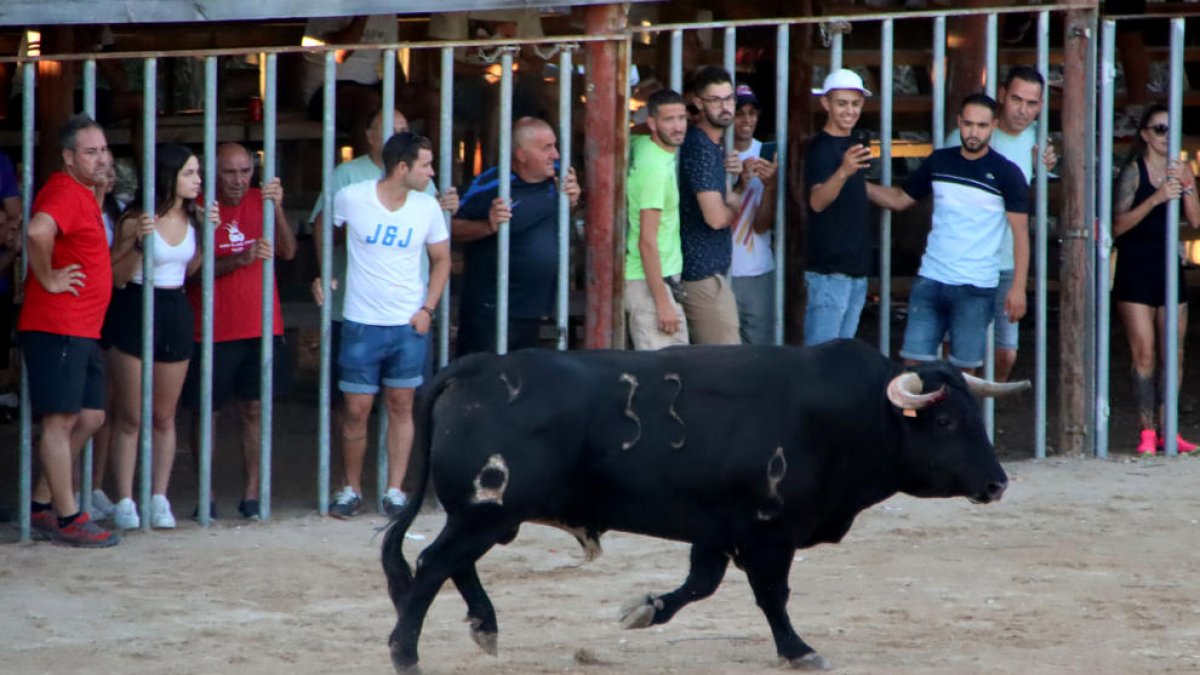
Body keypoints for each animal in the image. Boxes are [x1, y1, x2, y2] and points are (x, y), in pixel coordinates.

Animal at [381, 338, 1022, 667]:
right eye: (945, 421)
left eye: (974, 414)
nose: (997, 484)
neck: (849, 411)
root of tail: (475, 367)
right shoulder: (769, 531)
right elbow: (771, 595)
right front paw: (797, 649)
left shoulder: (716, 529)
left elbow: (700, 584)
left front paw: (643, 610)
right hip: (486, 512)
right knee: (433, 564)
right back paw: (406, 651)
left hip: (488, 515)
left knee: (449, 564)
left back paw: (483, 627)